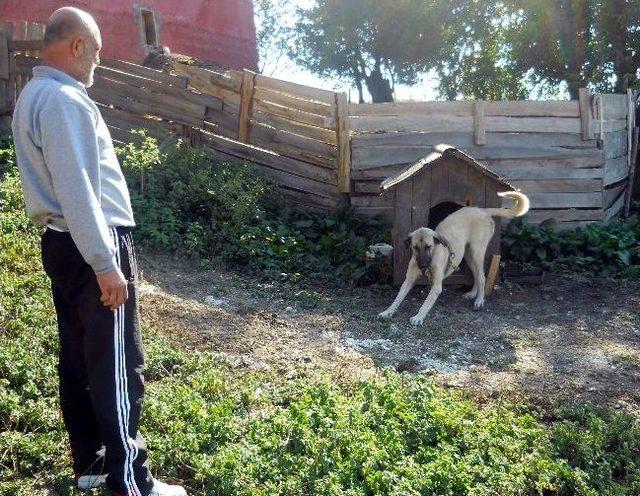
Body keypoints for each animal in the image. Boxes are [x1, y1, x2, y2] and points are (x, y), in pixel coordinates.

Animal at [380, 192, 528, 328]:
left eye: (429, 246)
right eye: (415, 247)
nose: (422, 264)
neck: (432, 256)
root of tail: (482, 210)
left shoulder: (436, 286)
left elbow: (426, 303)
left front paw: (418, 316)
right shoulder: (408, 280)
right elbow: (398, 298)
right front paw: (388, 312)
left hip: (477, 253)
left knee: (481, 277)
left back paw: (479, 301)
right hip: (468, 255)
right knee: (476, 275)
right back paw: (472, 294)